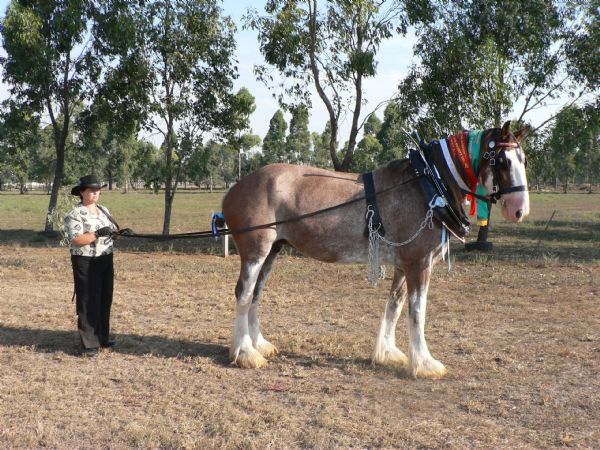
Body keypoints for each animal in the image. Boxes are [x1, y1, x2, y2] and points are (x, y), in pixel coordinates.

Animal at [222, 121, 529, 379]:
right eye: (502, 161)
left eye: (523, 160)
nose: (519, 210)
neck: (429, 184)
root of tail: (234, 189)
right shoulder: (419, 264)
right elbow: (417, 311)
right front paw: (424, 363)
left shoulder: (403, 265)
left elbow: (395, 305)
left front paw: (387, 353)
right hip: (255, 251)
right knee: (244, 294)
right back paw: (245, 352)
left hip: (272, 251)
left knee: (256, 294)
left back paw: (259, 344)